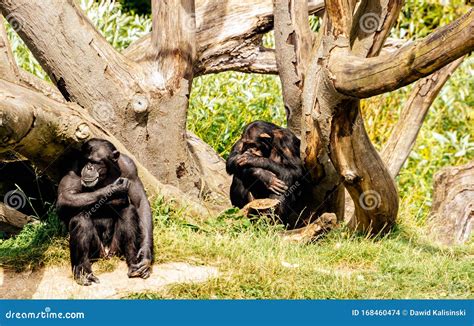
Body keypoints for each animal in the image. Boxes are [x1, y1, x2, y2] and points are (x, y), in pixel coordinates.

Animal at [55, 138, 153, 286]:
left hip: (115, 249)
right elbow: (65, 197)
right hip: (97, 251)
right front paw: (114, 189)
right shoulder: (72, 167)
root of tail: (106, 254)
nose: (89, 167)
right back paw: (84, 273)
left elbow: (140, 203)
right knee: (80, 217)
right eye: (86, 160)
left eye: (96, 162)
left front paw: (145, 254)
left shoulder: (130, 168)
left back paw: (134, 266)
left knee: (128, 210)